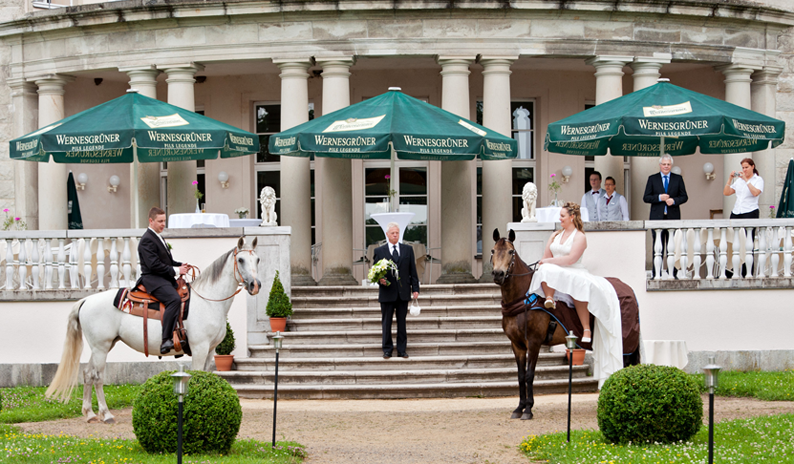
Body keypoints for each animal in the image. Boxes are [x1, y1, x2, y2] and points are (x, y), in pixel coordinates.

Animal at [44, 237, 262, 422]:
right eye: (241, 259)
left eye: (257, 259)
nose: (255, 285)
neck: (207, 301)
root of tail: (86, 300)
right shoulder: (199, 348)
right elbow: (195, 376)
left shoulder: (210, 350)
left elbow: (205, 376)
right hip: (101, 348)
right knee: (97, 377)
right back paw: (106, 414)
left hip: (103, 347)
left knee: (88, 374)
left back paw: (89, 414)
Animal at [488, 228, 636, 420]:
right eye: (493, 251)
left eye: (511, 252)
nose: (498, 274)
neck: (524, 298)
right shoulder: (517, 344)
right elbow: (520, 376)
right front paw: (519, 408)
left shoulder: (534, 342)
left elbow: (529, 375)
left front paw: (528, 409)